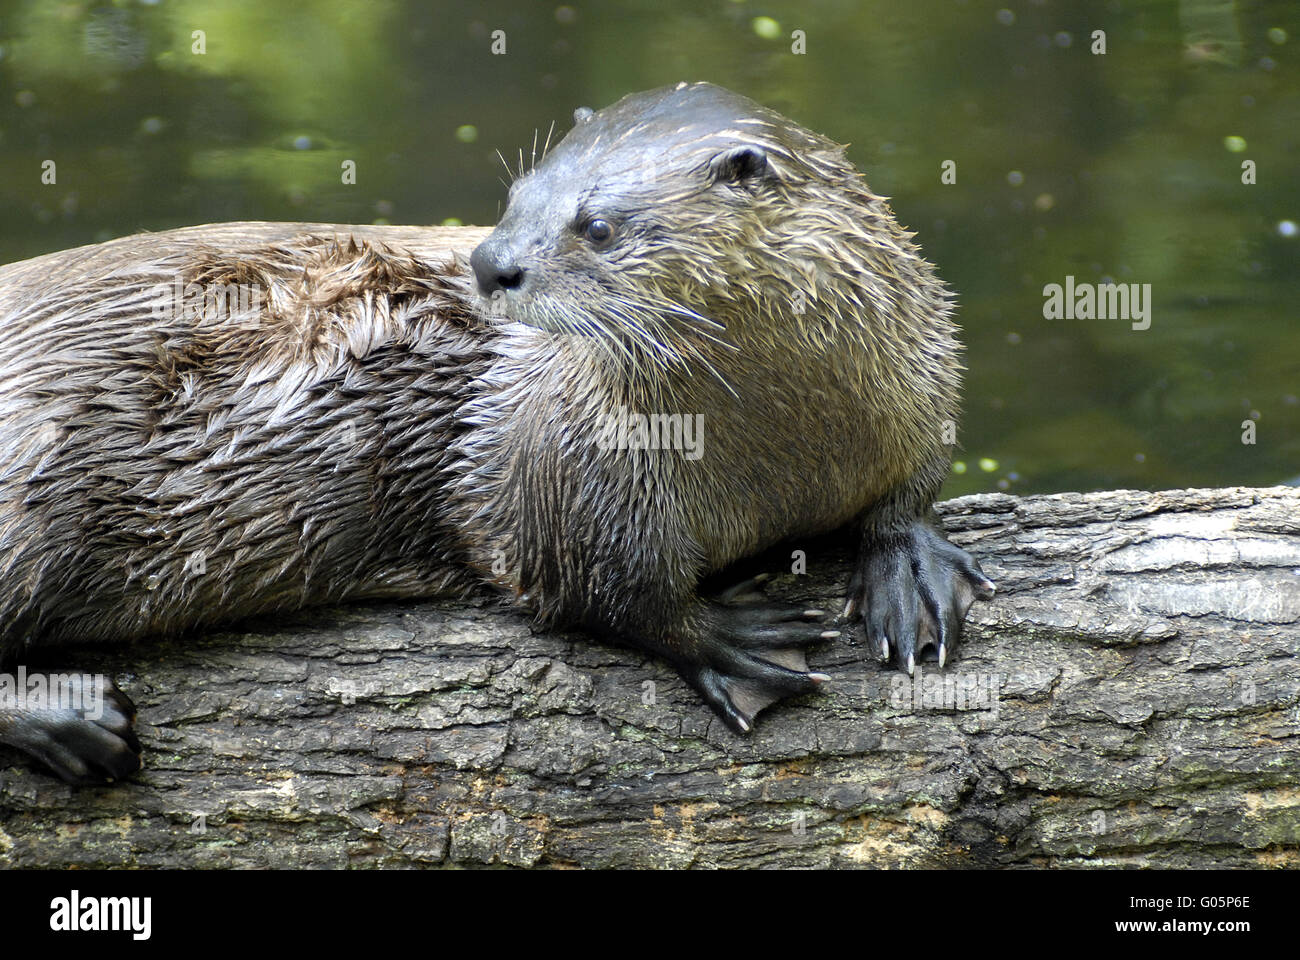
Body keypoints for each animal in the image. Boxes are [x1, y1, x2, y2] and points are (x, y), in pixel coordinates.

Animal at [0, 82, 987, 780]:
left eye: (599, 225)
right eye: (515, 197)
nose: (490, 262)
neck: (785, 448)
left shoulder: (921, 370)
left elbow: (911, 488)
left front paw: (909, 568)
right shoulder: (569, 465)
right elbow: (606, 585)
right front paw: (730, 639)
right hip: (28, 484)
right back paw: (72, 721)